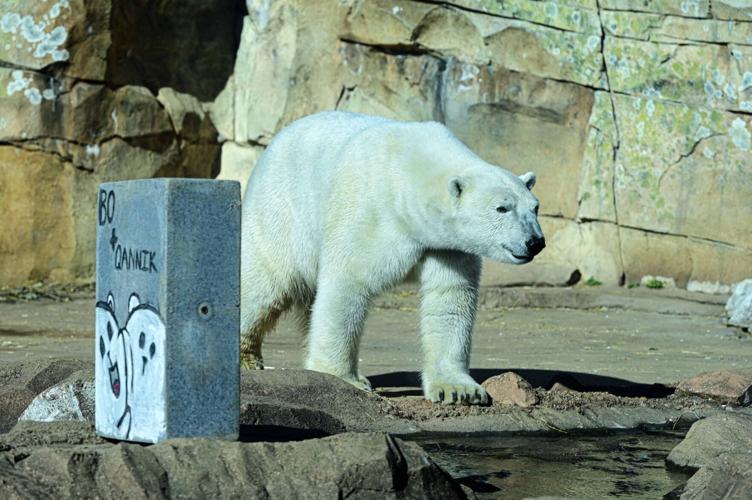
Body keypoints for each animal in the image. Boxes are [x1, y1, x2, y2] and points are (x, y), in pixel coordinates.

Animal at [240, 111, 544, 405]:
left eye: (535, 207)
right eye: (502, 208)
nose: (535, 242)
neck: (409, 175)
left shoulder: (447, 245)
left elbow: (450, 297)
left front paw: (459, 390)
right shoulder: (369, 214)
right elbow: (347, 285)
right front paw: (344, 379)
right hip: (283, 211)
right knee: (265, 283)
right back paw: (247, 359)